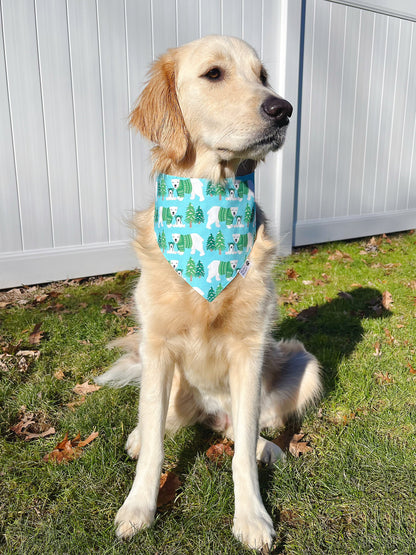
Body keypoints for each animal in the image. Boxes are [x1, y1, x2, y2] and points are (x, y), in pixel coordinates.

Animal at [95, 35, 322, 552]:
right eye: (214, 74)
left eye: (263, 76)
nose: (283, 109)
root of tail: (209, 414)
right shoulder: (158, 346)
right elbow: (156, 447)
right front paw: (138, 508)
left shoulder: (250, 348)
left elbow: (239, 457)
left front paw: (252, 517)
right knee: (162, 423)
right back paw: (140, 434)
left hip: (301, 362)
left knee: (245, 431)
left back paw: (264, 446)